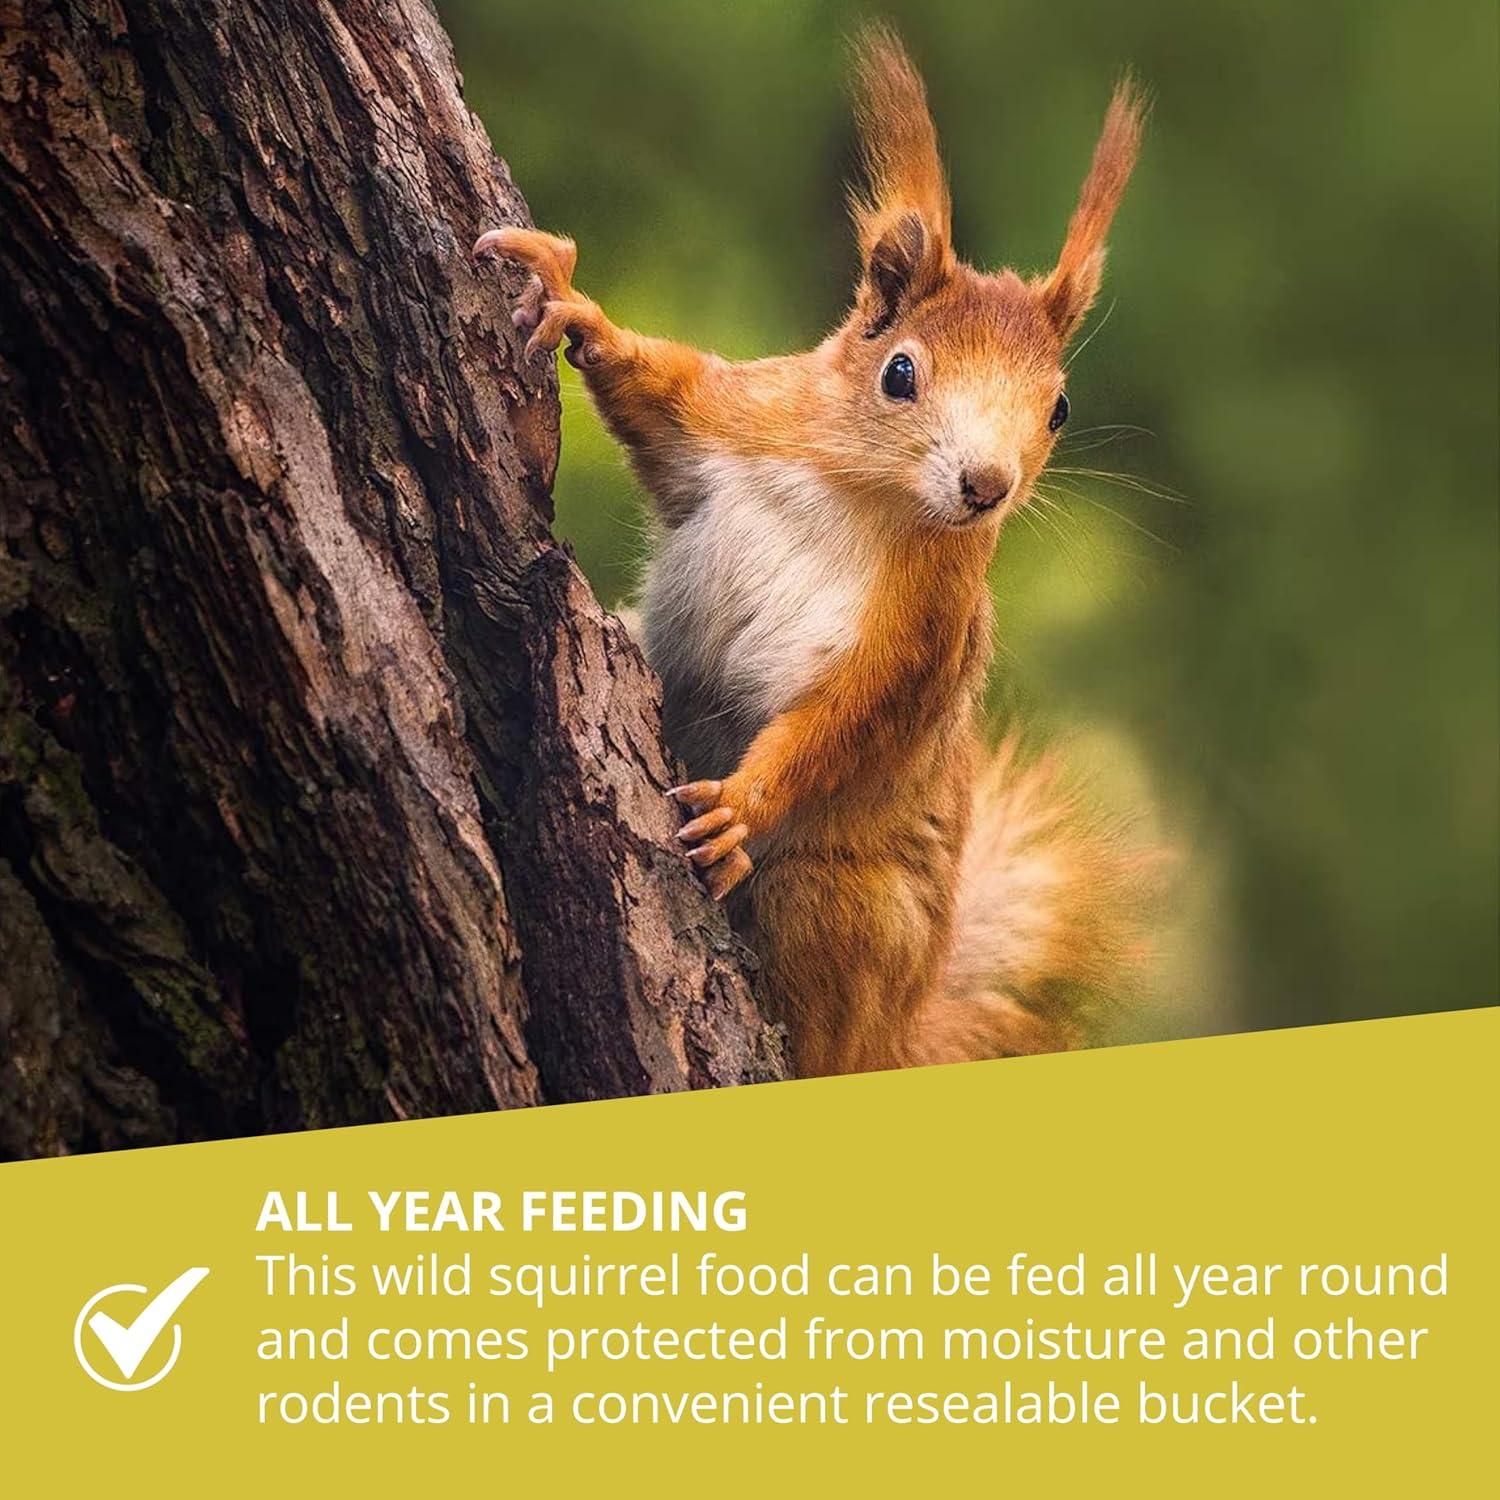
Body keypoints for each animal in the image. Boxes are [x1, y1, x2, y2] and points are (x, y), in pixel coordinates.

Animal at [476, 26, 1156, 1077]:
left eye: (1060, 409)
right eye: (900, 373)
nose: (986, 487)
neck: (862, 494)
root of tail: (898, 1032)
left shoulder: (922, 633)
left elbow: (847, 721)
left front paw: (742, 808)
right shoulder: (737, 418)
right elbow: (658, 396)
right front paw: (574, 307)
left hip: (841, 908)